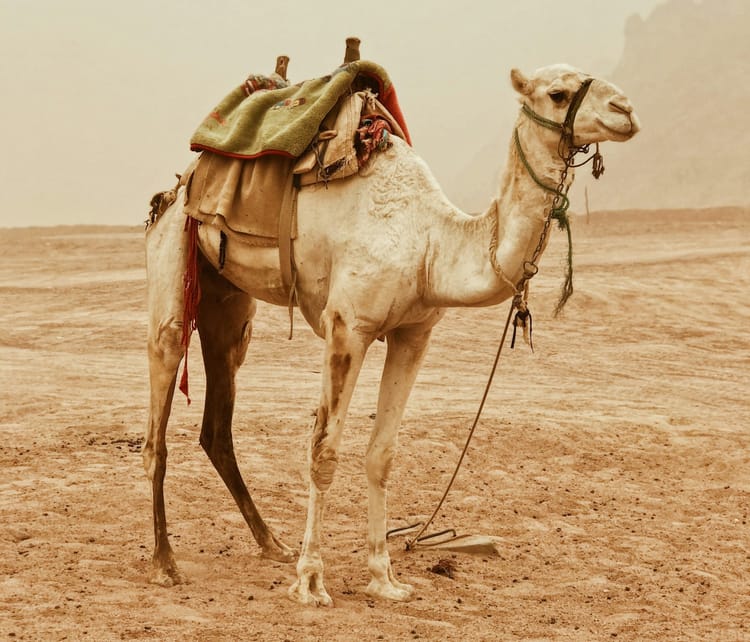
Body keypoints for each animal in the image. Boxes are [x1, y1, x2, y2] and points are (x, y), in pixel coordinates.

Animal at [143, 61, 639, 606]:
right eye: (557, 93)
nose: (626, 110)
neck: (430, 244)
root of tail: (179, 185)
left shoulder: (413, 334)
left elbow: (381, 454)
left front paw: (384, 577)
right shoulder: (348, 326)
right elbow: (323, 451)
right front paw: (311, 581)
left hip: (228, 303)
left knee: (217, 420)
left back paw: (271, 542)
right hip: (173, 259)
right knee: (158, 415)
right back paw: (166, 563)